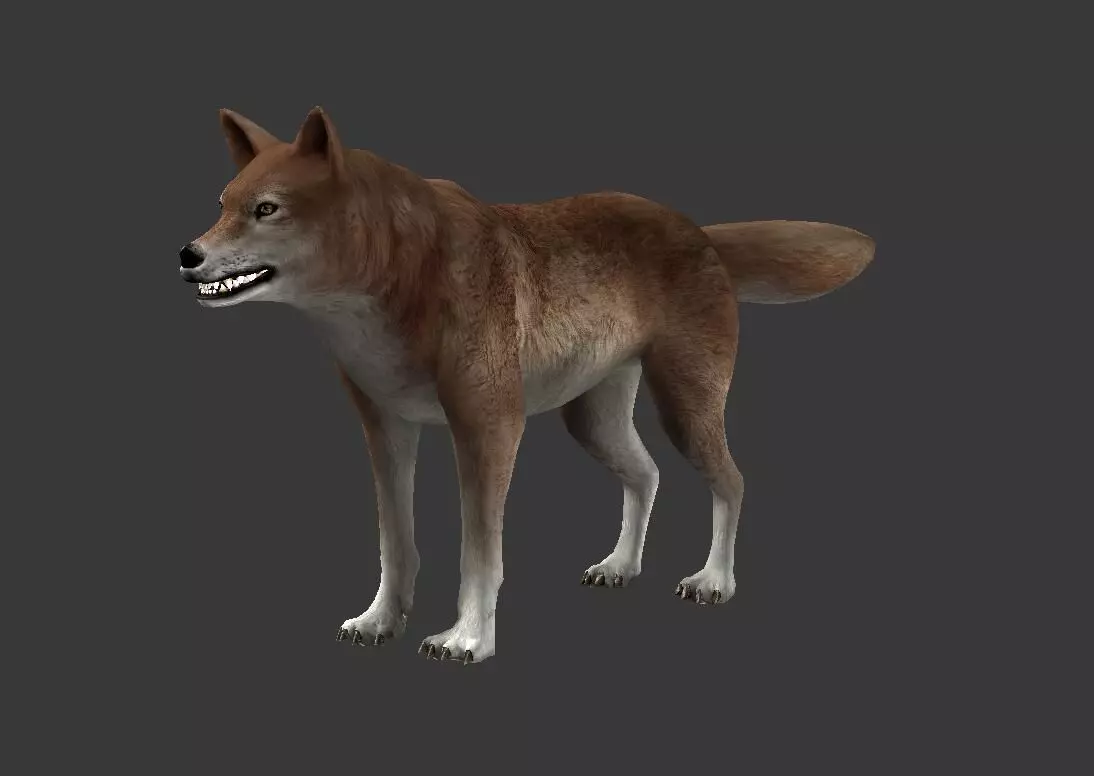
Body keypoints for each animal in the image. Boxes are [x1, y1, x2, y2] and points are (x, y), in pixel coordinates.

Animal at [180, 106, 875, 664]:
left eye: (266, 209)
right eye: (221, 204)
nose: (187, 254)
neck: (395, 281)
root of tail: (698, 229)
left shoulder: (488, 429)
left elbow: (479, 552)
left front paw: (467, 640)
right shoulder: (386, 430)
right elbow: (395, 542)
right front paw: (380, 622)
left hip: (683, 408)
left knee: (731, 481)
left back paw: (713, 582)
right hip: (591, 423)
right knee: (648, 473)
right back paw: (620, 567)